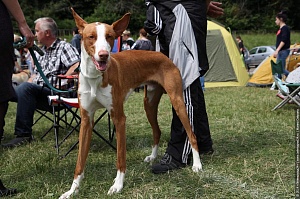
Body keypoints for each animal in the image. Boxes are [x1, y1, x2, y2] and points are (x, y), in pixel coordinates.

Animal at [59, 8, 202, 198]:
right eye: (91, 37)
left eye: (110, 36)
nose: (104, 55)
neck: (96, 77)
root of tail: (162, 55)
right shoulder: (86, 120)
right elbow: (80, 162)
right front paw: (72, 190)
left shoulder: (119, 118)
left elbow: (120, 157)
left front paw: (117, 185)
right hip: (149, 104)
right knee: (157, 131)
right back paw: (153, 156)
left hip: (178, 101)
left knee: (191, 134)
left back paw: (197, 165)